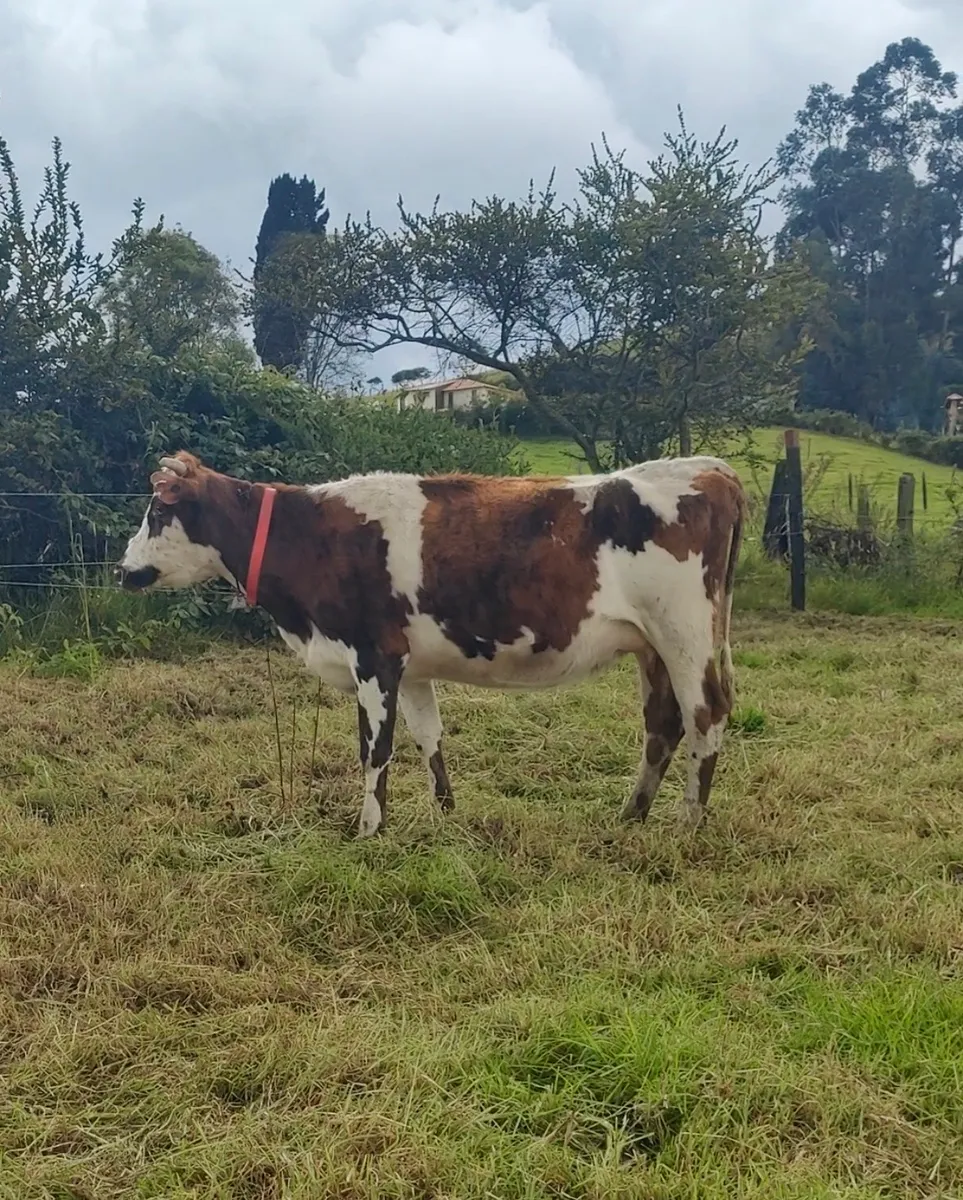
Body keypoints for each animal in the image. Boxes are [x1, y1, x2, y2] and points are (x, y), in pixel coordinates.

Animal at [117, 451, 746, 838]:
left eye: (157, 512)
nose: (122, 570)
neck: (310, 538)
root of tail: (708, 468)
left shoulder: (373, 657)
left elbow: (374, 749)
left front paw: (369, 831)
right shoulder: (411, 666)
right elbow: (428, 738)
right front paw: (445, 815)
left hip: (685, 634)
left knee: (705, 716)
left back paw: (687, 825)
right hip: (651, 646)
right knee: (663, 724)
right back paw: (631, 815)